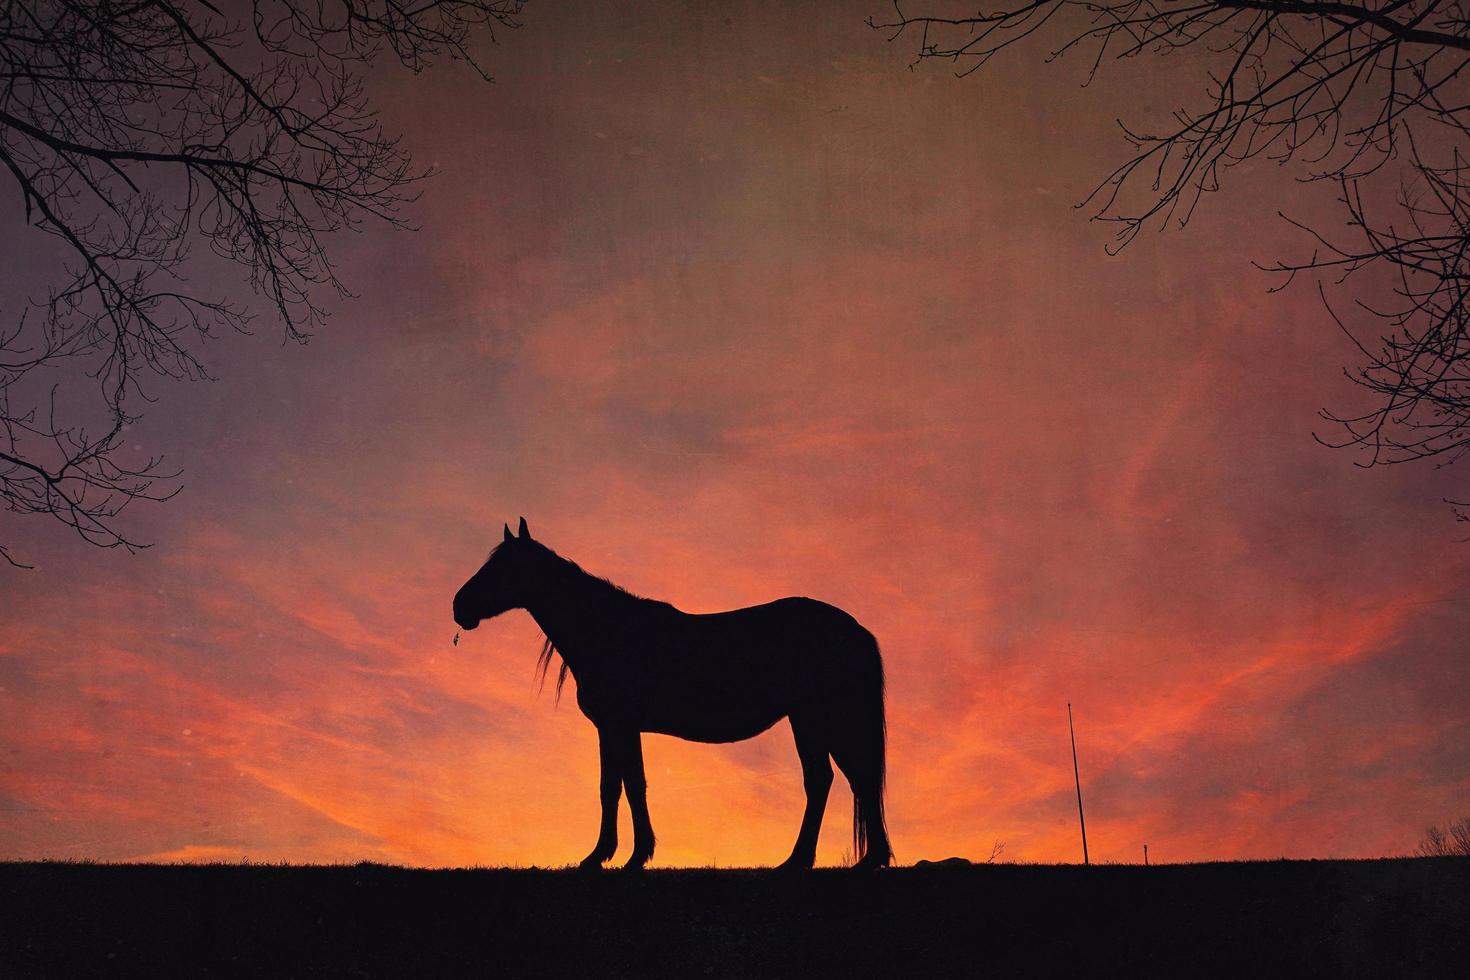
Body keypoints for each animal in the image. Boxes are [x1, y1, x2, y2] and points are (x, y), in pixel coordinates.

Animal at [446, 517, 887, 869]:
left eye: (502, 567)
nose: (459, 606)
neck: (607, 630)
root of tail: (856, 629)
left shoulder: (620, 725)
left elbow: (627, 786)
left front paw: (625, 857)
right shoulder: (614, 728)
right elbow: (617, 786)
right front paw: (609, 856)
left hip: (819, 718)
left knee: (838, 779)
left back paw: (821, 860)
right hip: (813, 719)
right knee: (841, 779)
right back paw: (841, 859)